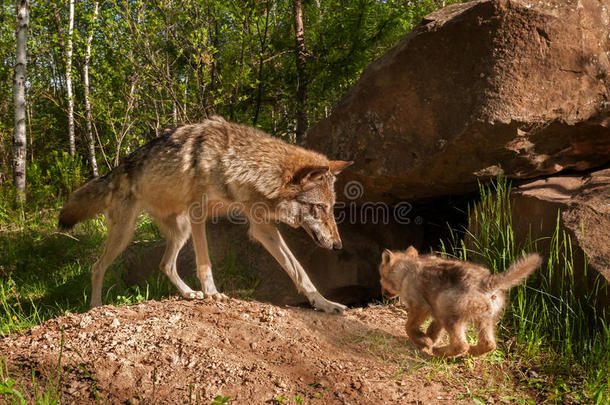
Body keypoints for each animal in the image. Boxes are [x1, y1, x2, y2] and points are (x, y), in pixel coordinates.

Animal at [58, 116, 352, 312]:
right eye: (320, 208)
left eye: (330, 207)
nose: (338, 245)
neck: (235, 163)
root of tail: (115, 170)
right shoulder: (198, 213)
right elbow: (205, 262)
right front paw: (213, 293)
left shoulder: (262, 228)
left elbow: (299, 271)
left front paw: (324, 303)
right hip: (127, 234)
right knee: (98, 267)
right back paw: (96, 305)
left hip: (180, 231)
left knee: (165, 265)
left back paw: (189, 294)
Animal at [378, 246, 540, 356]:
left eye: (380, 276)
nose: (382, 293)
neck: (405, 271)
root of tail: (487, 282)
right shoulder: (436, 312)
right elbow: (433, 329)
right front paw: (426, 342)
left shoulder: (420, 306)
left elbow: (409, 327)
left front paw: (425, 342)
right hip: (484, 319)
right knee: (488, 344)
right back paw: (471, 352)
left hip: (450, 313)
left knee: (461, 345)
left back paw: (440, 352)